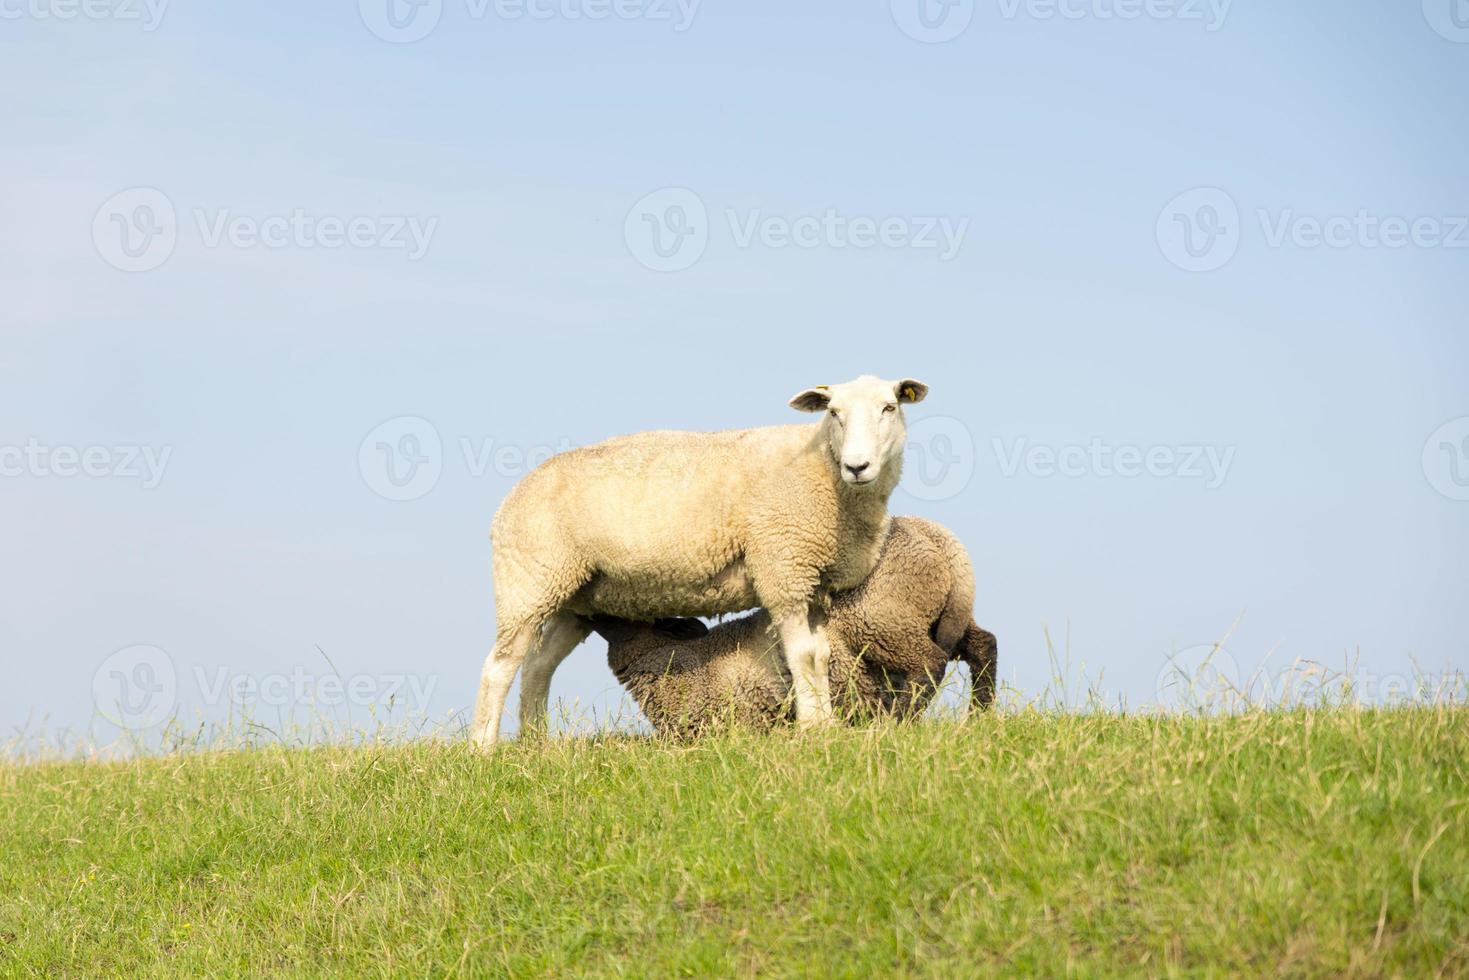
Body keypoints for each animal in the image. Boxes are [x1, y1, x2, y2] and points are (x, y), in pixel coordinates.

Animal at [470, 376, 928, 752]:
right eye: (833, 412)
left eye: (889, 407)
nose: (857, 466)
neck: (825, 473)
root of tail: (508, 502)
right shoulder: (783, 569)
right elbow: (803, 656)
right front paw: (813, 728)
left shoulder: (813, 583)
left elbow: (820, 655)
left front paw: (825, 723)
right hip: (528, 581)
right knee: (499, 666)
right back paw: (483, 749)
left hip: (576, 597)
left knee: (538, 665)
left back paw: (535, 743)